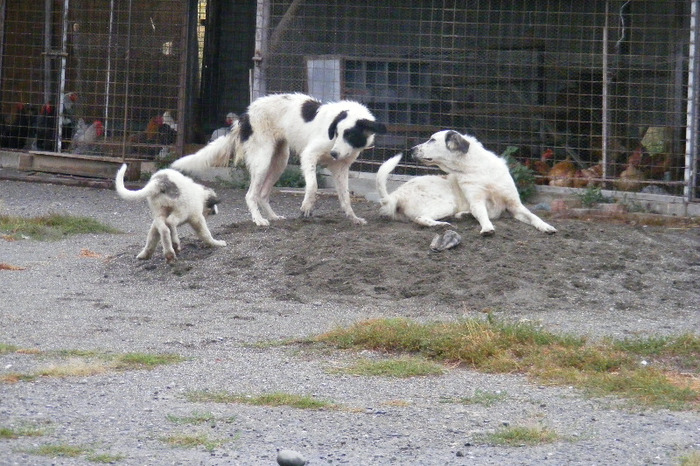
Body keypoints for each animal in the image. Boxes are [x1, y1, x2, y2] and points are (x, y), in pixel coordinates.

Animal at [172, 92, 386, 226]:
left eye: (350, 135)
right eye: (337, 133)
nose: (333, 154)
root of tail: (245, 115)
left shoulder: (341, 168)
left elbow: (345, 197)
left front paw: (353, 218)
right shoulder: (309, 155)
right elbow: (313, 186)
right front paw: (306, 207)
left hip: (280, 161)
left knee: (262, 194)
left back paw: (273, 217)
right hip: (263, 160)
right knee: (251, 195)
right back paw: (259, 220)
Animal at [378, 129, 556, 235]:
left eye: (432, 140)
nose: (411, 149)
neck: (477, 169)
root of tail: (396, 195)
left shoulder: (515, 205)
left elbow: (533, 216)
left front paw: (545, 226)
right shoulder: (477, 201)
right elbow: (483, 214)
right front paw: (487, 227)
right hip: (447, 204)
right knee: (420, 218)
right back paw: (441, 225)